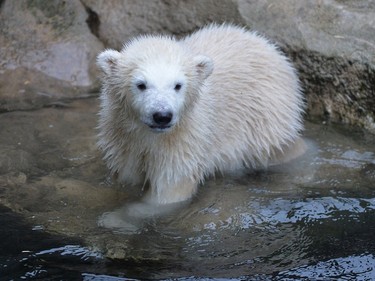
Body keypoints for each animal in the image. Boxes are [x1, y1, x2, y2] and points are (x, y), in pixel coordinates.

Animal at [97, 23, 306, 203]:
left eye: (178, 85)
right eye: (141, 84)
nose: (162, 116)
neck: (150, 136)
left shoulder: (185, 141)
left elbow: (171, 188)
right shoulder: (123, 141)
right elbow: (128, 176)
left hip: (266, 115)